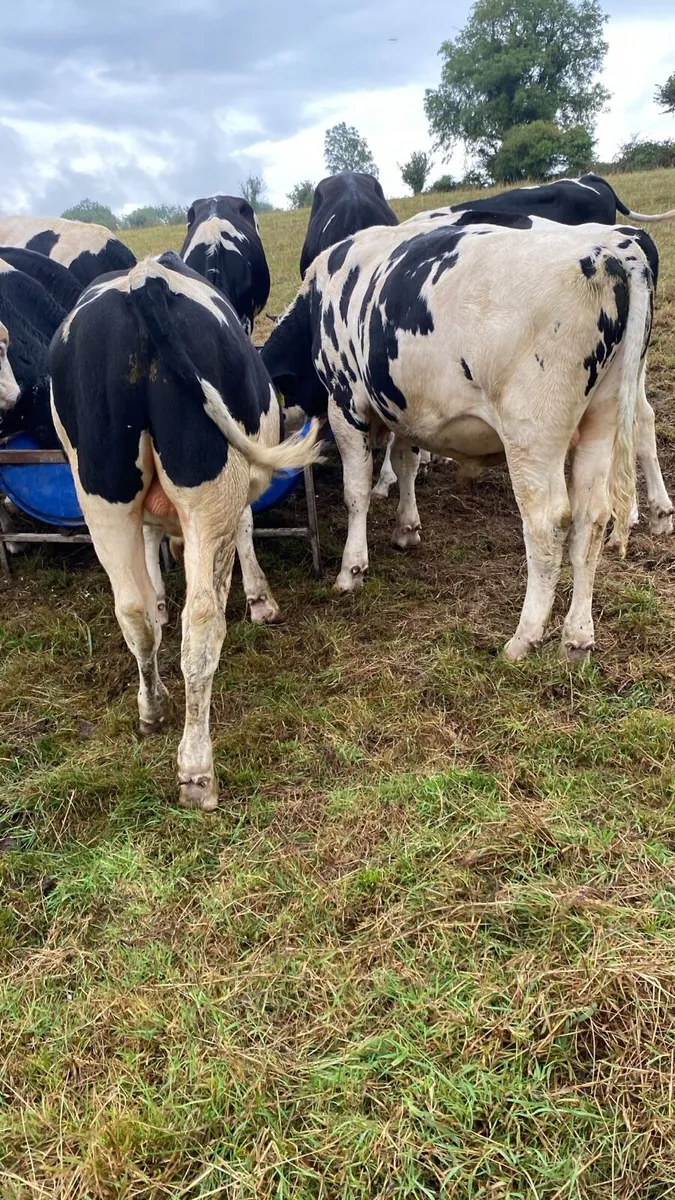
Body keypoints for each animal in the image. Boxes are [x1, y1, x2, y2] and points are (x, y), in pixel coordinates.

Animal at [49, 251, 322, 811]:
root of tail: (143, 282)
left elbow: (149, 567)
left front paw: (159, 594)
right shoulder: (239, 488)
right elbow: (245, 529)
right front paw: (261, 601)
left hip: (101, 494)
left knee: (131, 614)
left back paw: (153, 708)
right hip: (209, 489)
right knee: (201, 627)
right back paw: (197, 769)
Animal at [262, 219, 657, 661]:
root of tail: (608, 256)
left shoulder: (345, 404)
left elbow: (356, 491)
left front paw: (352, 570)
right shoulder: (406, 409)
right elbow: (405, 463)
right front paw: (406, 528)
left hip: (532, 435)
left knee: (547, 525)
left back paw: (523, 637)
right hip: (600, 421)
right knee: (592, 520)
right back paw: (577, 639)